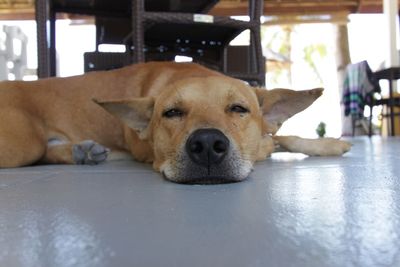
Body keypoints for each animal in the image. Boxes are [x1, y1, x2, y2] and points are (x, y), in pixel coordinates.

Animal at [0, 62, 350, 184]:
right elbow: (273, 141)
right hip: (23, 142)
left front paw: (328, 145)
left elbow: (283, 137)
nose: (207, 144)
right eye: (171, 113)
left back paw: (81, 151)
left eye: (238, 109)